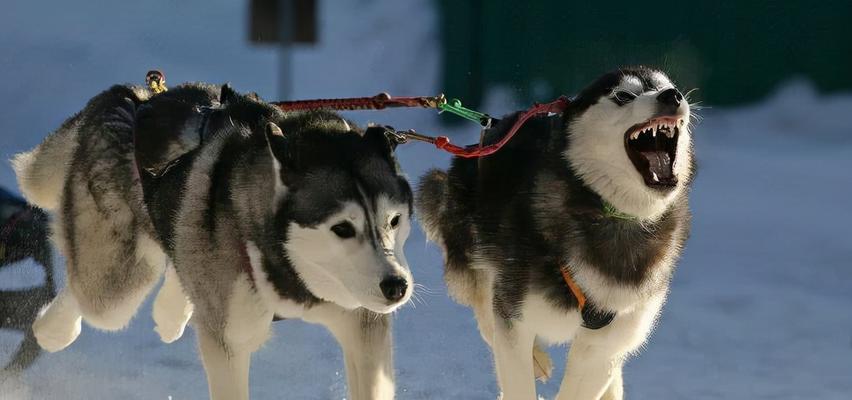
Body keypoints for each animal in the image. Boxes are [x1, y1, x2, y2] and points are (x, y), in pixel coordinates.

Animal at [12, 83, 412, 398]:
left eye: (393, 220)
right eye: (342, 228)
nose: (397, 286)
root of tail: (133, 97)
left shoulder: (363, 325)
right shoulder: (230, 342)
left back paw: (171, 311)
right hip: (117, 286)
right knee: (92, 296)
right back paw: (53, 329)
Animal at [418, 67, 692, 398]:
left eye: (671, 87)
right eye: (624, 95)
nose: (672, 96)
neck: (610, 213)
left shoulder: (606, 340)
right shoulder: (516, 318)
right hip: (473, 249)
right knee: (485, 307)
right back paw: (535, 357)